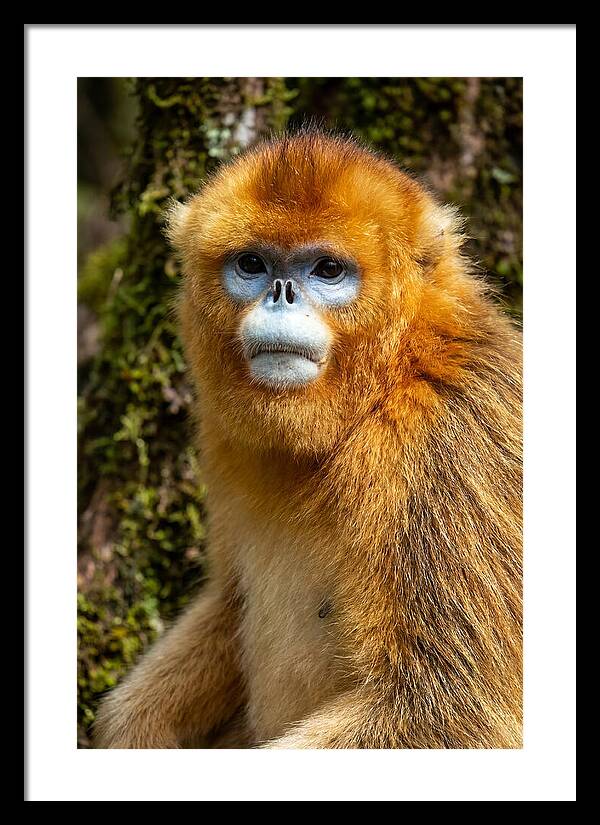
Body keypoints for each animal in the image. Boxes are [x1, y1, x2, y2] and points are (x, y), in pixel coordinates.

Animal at [94, 129, 522, 749]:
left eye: (326, 270)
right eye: (252, 263)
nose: (281, 292)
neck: (386, 386)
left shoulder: (452, 440)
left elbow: (450, 711)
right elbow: (228, 602)